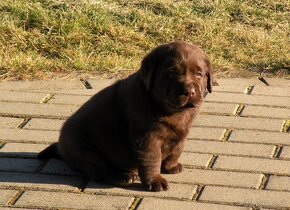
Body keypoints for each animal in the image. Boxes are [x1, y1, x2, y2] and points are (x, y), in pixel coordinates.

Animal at [38, 40, 213, 191]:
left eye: (199, 74)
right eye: (171, 74)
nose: (189, 91)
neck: (171, 110)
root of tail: (60, 147)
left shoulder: (182, 132)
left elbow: (177, 149)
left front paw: (171, 166)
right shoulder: (147, 138)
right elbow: (152, 159)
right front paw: (155, 181)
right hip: (87, 153)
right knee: (100, 172)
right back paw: (122, 176)